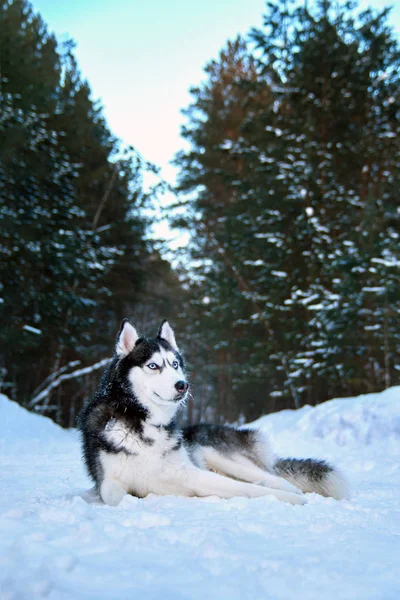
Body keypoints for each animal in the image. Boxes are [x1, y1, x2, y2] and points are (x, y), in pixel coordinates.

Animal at [79, 318, 348, 506]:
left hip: (218, 453)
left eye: (174, 364)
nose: (182, 385)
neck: (144, 422)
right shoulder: (108, 481)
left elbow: (247, 489)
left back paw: (288, 489)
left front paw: (290, 499)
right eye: (153, 366)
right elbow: (113, 494)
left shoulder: (191, 473)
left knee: (271, 477)